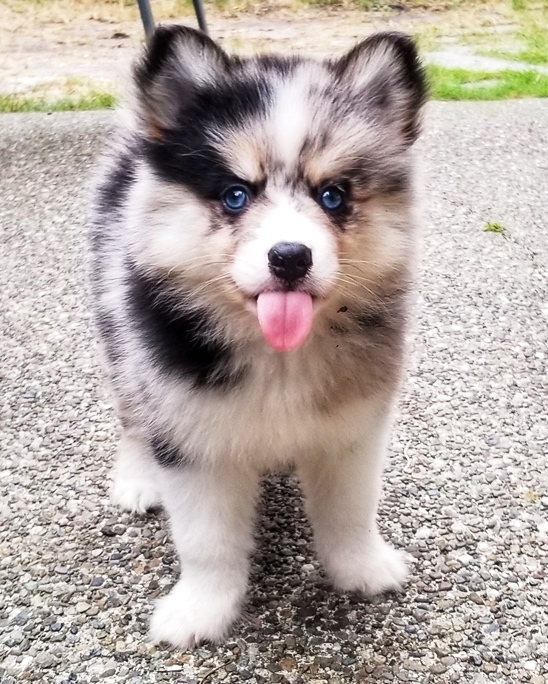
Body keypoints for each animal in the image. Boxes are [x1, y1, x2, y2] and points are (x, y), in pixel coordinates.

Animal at [92, 25, 428, 648]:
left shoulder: (353, 428)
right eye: (235, 195)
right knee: (131, 416)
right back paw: (137, 478)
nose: (290, 257)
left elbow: (350, 511)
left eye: (333, 195)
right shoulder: (189, 435)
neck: (279, 358)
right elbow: (207, 540)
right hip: (118, 338)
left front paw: (363, 568)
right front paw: (200, 610)